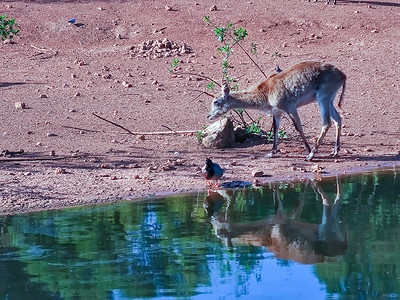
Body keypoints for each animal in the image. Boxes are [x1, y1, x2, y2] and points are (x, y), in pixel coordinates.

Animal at [209, 61, 346, 162]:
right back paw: (335, 151)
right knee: (338, 119)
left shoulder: (290, 107)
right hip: (330, 99)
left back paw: (311, 155)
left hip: (323, 97)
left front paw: (307, 150)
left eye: (215, 101)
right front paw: (272, 152)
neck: (266, 92)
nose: (209, 116)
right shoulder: (277, 113)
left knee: (327, 123)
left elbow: (298, 127)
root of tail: (343, 75)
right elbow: (275, 129)